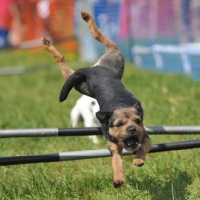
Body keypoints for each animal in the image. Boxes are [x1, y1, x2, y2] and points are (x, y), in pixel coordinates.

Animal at [41, 10, 152, 188]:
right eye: (118, 124)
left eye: (138, 121)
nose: (132, 129)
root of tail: (94, 70)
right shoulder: (113, 147)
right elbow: (116, 163)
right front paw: (118, 180)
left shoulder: (145, 136)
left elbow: (144, 147)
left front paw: (139, 159)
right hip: (84, 82)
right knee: (72, 54)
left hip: (100, 69)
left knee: (99, 39)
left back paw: (85, 20)